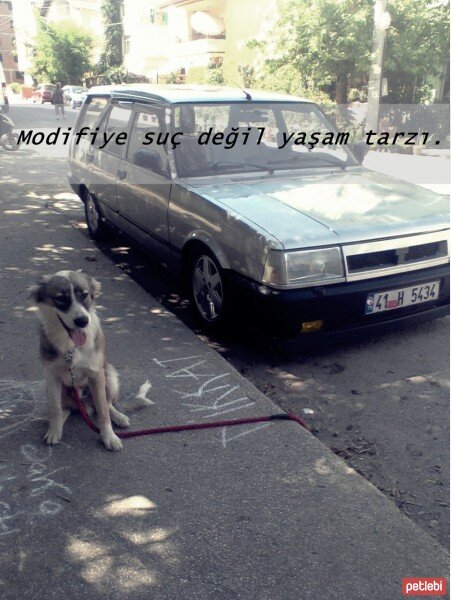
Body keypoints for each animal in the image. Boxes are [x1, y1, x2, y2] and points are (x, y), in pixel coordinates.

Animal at [30, 270, 154, 450]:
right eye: (60, 298)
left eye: (84, 295)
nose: (82, 321)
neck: (71, 346)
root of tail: (85, 407)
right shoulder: (51, 376)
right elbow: (55, 408)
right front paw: (54, 430)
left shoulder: (96, 374)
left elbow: (103, 411)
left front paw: (109, 437)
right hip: (53, 388)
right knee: (65, 408)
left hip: (109, 374)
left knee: (107, 404)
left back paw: (118, 416)